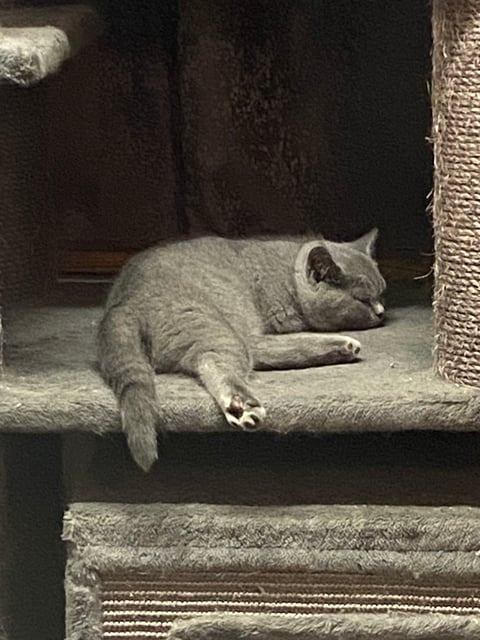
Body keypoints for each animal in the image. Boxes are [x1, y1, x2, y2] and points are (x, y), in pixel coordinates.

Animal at [98, 230, 386, 470]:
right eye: (363, 300)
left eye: (382, 293)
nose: (382, 312)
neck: (287, 275)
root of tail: (124, 302)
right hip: (216, 325)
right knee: (214, 361)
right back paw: (241, 406)